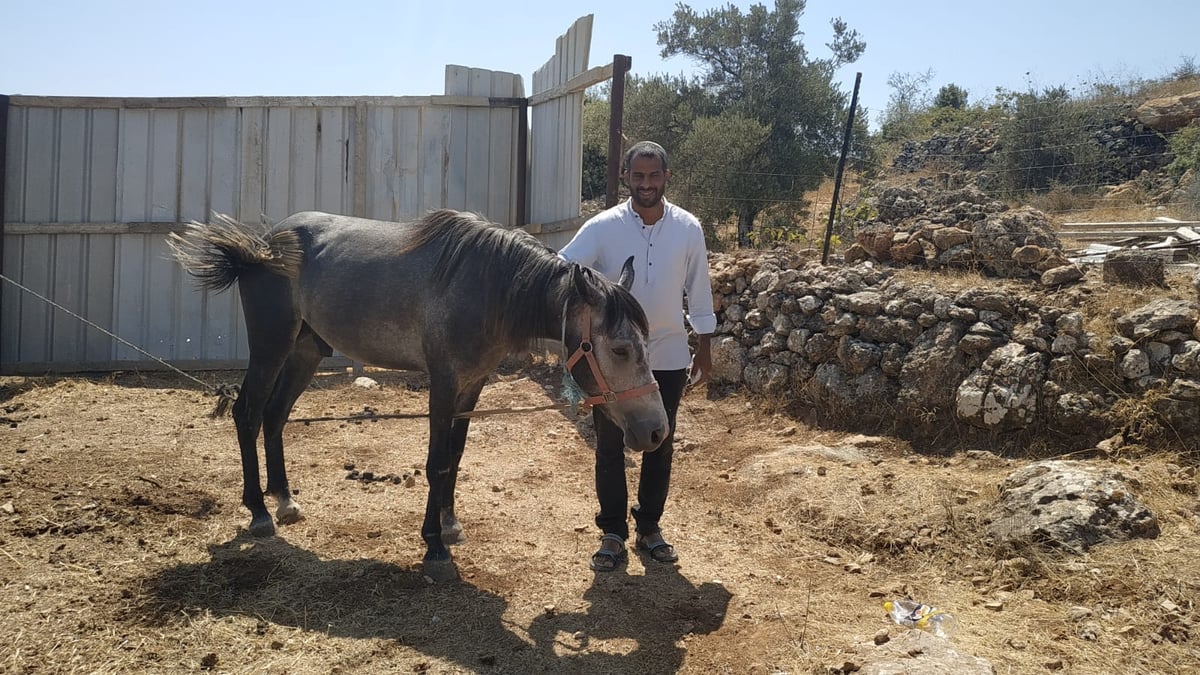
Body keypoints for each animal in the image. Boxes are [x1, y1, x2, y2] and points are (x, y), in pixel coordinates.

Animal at [170, 210, 672, 578]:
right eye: (621, 349)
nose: (656, 431)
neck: (487, 286)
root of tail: (263, 245)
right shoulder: (444, 383)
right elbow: (437, 463)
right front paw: (434, 547)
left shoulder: (471, 386)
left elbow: (456, 455)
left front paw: (449, 525)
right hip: (271, 346)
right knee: (248, 413)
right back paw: (259, 511)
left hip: (305, 351)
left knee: (274, 416)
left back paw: (284, 499)